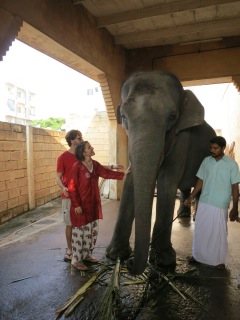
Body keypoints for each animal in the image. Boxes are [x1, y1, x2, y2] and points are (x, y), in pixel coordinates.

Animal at [106, 70, 217, 276]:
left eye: (172, 117)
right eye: (123, 116)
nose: (130, 263)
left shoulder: (182, 137)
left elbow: (167, 181)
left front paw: (164, 260)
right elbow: (130, 179)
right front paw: (116, 254)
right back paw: (183, 215)